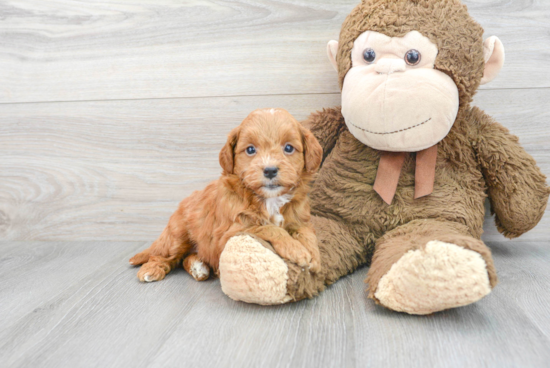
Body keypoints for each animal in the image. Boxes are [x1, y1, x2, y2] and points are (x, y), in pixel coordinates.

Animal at [130, 108, 324, 284]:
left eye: (289, 148)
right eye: (250, 150)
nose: (270, 170)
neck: (270, 199)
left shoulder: (299, 220)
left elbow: (307, 233)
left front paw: (314, 256)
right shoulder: (229, 234)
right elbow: (267, 228)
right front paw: (296, 250)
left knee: (188, 256)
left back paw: (198, 267)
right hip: (177, 234)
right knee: (164, 255)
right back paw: (151, 269)